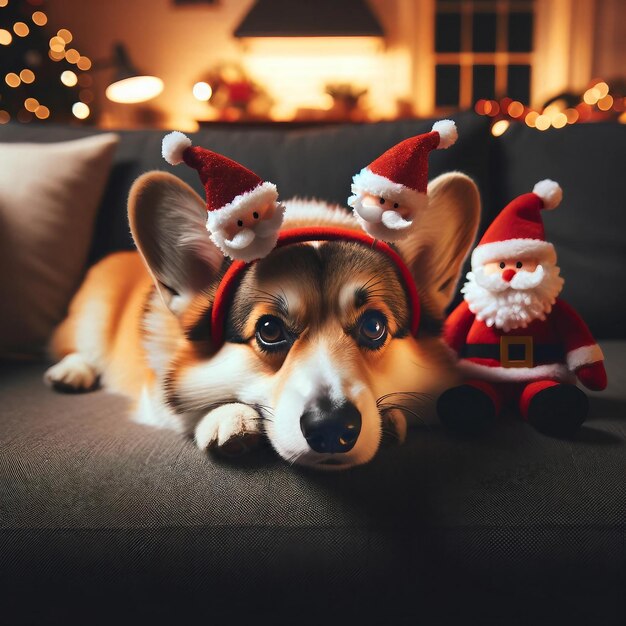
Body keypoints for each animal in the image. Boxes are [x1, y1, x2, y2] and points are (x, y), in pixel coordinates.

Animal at [44, 171, 478, 468]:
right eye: (269, 330)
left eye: (374, 327)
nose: (333, 428)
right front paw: (227, 416)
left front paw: (391, 418)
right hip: (89, 319)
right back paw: (71, 371)